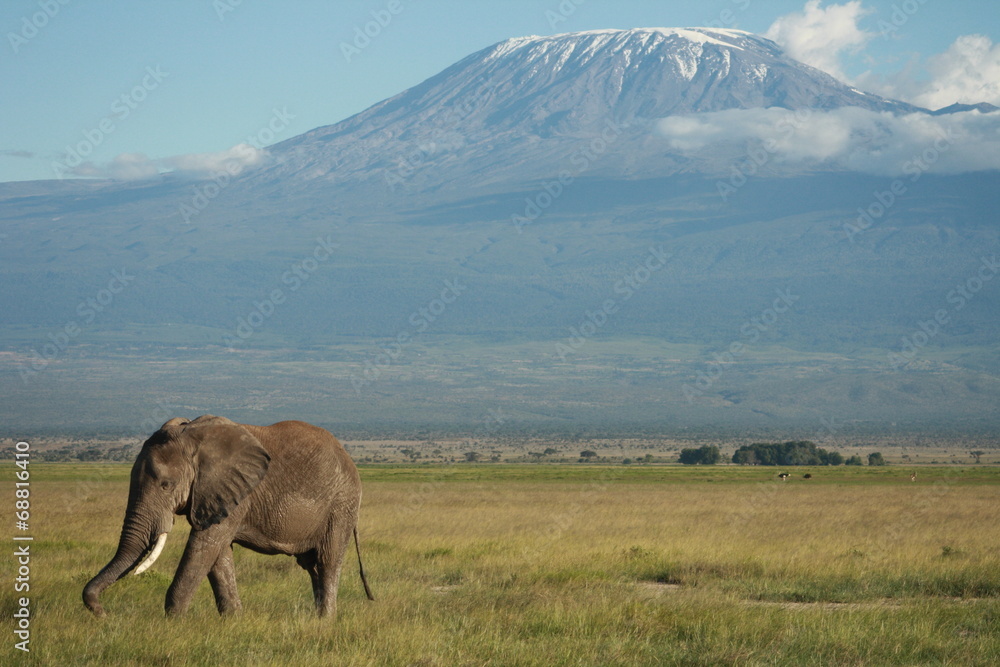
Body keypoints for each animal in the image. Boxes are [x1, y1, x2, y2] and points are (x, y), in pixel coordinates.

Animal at [83, 415, 374, 618]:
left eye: (166, 485)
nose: (102, 612)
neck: (193, 439)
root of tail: (348, 458)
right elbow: (217, 553)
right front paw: (234, 620)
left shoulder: (233, 493)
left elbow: (204, 547)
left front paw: (173, 622)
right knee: (312, 565)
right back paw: (317, 619)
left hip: (341, 505)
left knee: (327, 562)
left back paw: (325, 621)